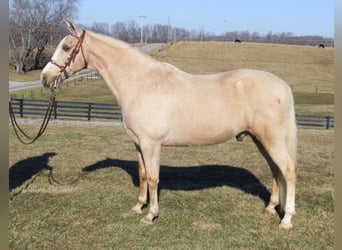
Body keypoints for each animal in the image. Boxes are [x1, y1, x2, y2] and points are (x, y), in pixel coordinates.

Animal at [40, 19, 296, 229]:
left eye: (66, 47)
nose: (45, 77)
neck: (141, 83)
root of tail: (283, 86)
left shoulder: (151, 144)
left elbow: (154, 178)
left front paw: (150, 215)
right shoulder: (139, 144)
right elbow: (143, 175)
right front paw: (138, 207)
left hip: (271, 141)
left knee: (288, 170)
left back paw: (286, 220)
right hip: (260, 140)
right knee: (275, 171)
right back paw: (270, 208)